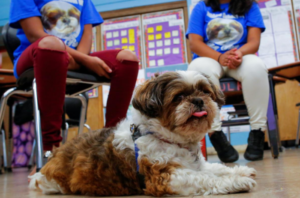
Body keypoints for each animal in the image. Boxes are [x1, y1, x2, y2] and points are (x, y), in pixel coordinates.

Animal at [29, 71, 256, 196]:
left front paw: (239, 171)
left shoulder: (195, 164)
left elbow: (216, 168)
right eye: (178, 97)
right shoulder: (164, 177)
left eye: (205, 91)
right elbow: (206, 178)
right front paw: (237, 181)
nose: (199, 100)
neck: (169, 138)